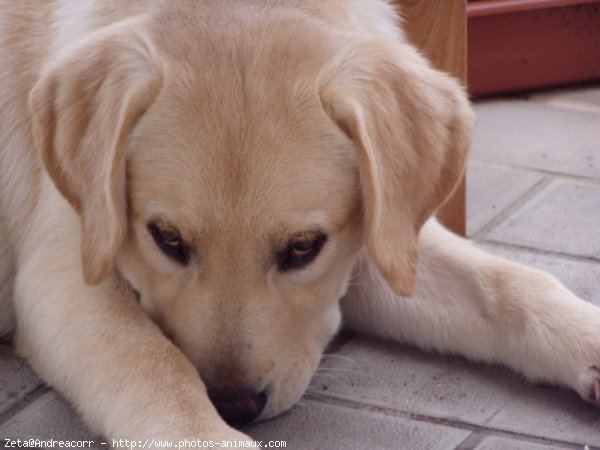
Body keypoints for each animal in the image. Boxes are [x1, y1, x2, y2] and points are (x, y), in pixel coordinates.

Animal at [0, 0, 596, 444]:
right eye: (166, 238)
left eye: (304, 247)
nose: (234, 405)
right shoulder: (64, 274)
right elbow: (151, 363)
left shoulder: (381, 238)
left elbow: (511, 282)